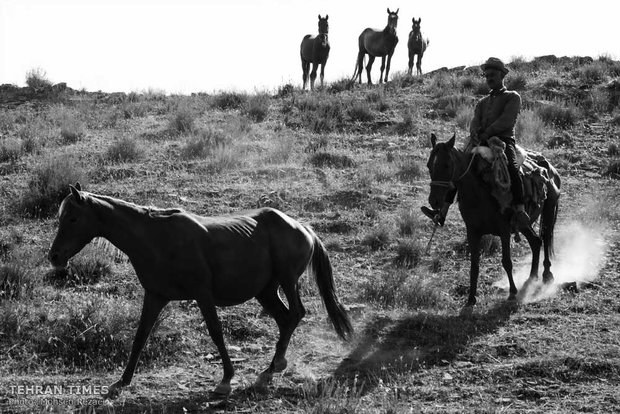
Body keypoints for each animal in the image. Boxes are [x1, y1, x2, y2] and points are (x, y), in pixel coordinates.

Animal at [47, 184, 354, 398]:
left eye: (72, 218)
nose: (54, 256)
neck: (156, 239)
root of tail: (303, 228)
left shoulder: (202, 294)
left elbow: (216, 333)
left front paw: (226, 380)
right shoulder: (155, 296)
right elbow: (140, 337)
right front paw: (122, 381)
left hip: (287, 281)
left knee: (296, 314)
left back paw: (272, 368)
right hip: (265, 291)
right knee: (285, 319)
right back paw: (272, 368)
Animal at [426, 134, 560, 308]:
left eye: (447, 165)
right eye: (429, 165)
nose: (434, 201)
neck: (478, 194)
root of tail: (549, 168)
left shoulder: (504, 230)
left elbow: (507, 262)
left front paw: (512, 292)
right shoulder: (472, 232)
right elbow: (474, 265)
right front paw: (471, 298)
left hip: (549, 211)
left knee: (545, 238)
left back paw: (547, 275)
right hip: (523, 223)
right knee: (536, 241)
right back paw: (531, 277)